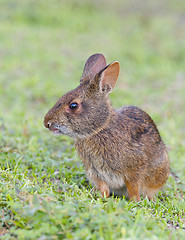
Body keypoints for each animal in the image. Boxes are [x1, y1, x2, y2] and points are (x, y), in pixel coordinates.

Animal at [43, 53, 171, 202]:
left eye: (73, 106)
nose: (46, 122)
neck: (98, 129)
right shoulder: (95, 172)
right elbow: (103, 188)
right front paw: (100, 196)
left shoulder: (135, 168)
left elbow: (133, 186)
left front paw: (134, 201)